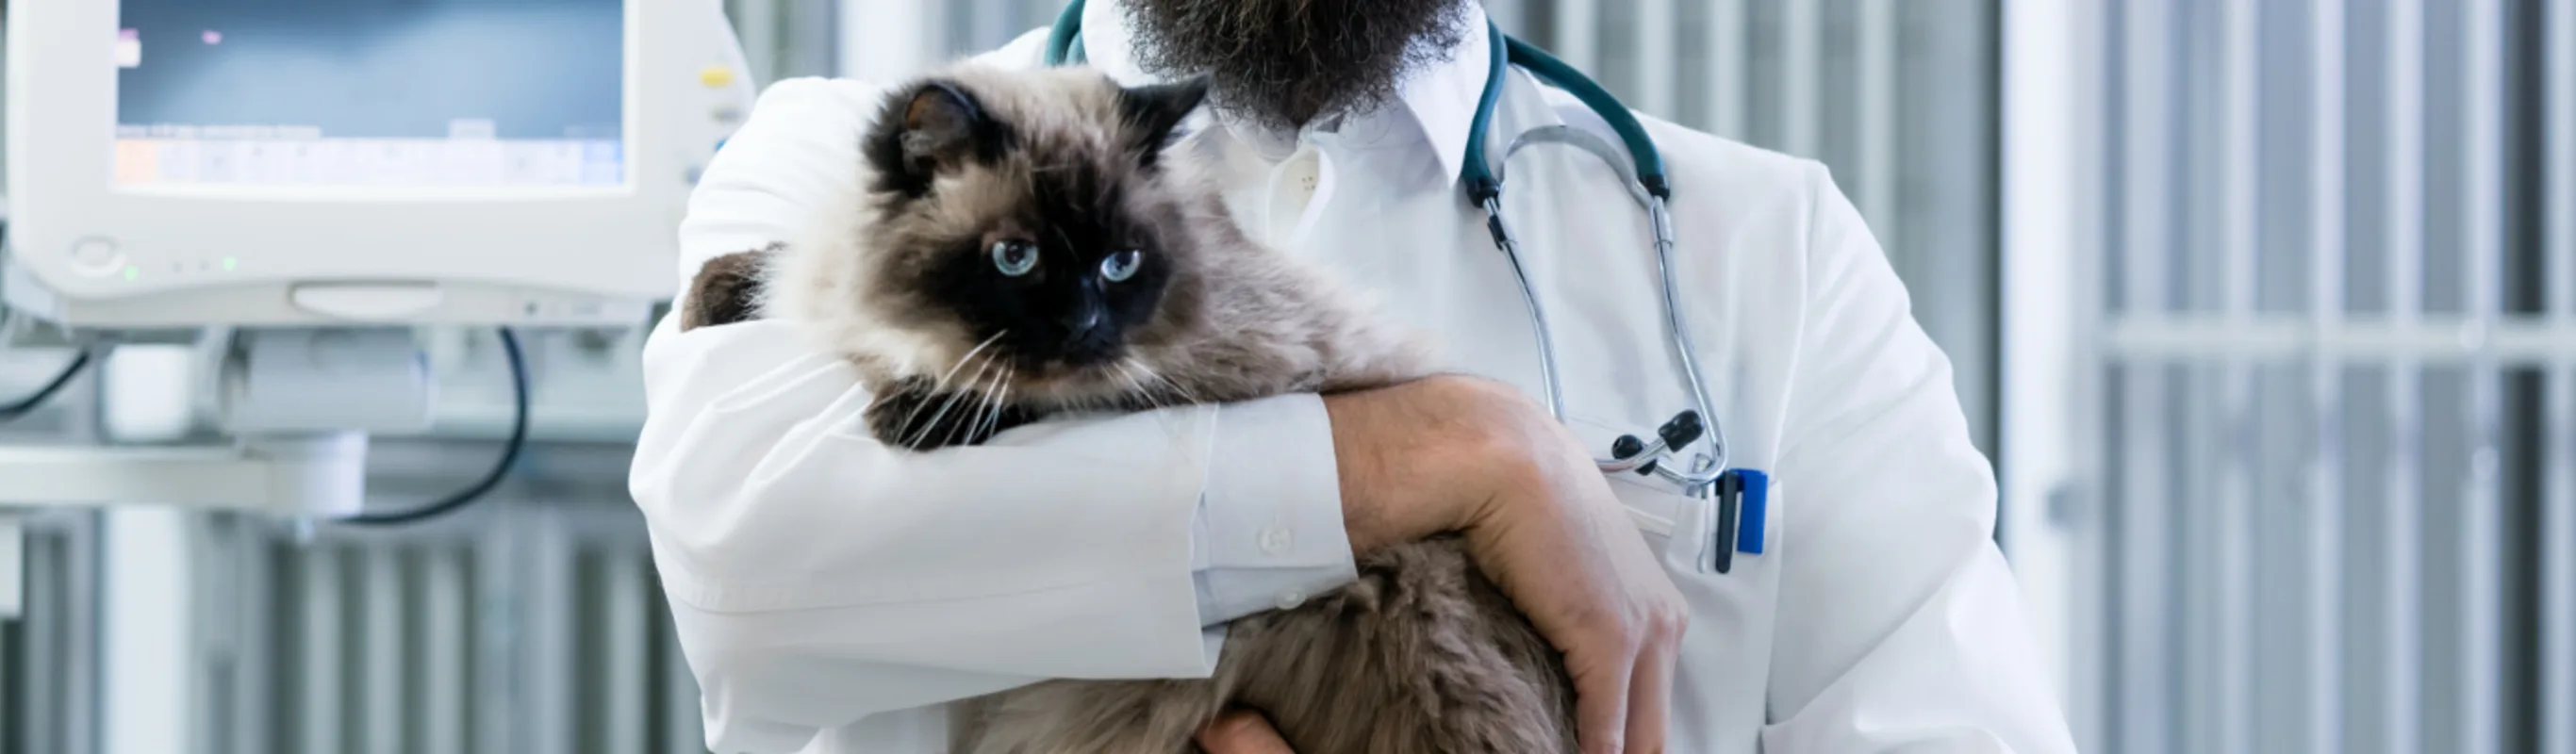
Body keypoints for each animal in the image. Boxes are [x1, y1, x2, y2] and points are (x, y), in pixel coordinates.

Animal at [674, 61, 1576, 746]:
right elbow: (775, 270)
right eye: (1016, 258)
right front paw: (709, 298)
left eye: (1120, 264)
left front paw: (917, 412)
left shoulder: (1213, 367)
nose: (1083, 328)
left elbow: (1016, 391)